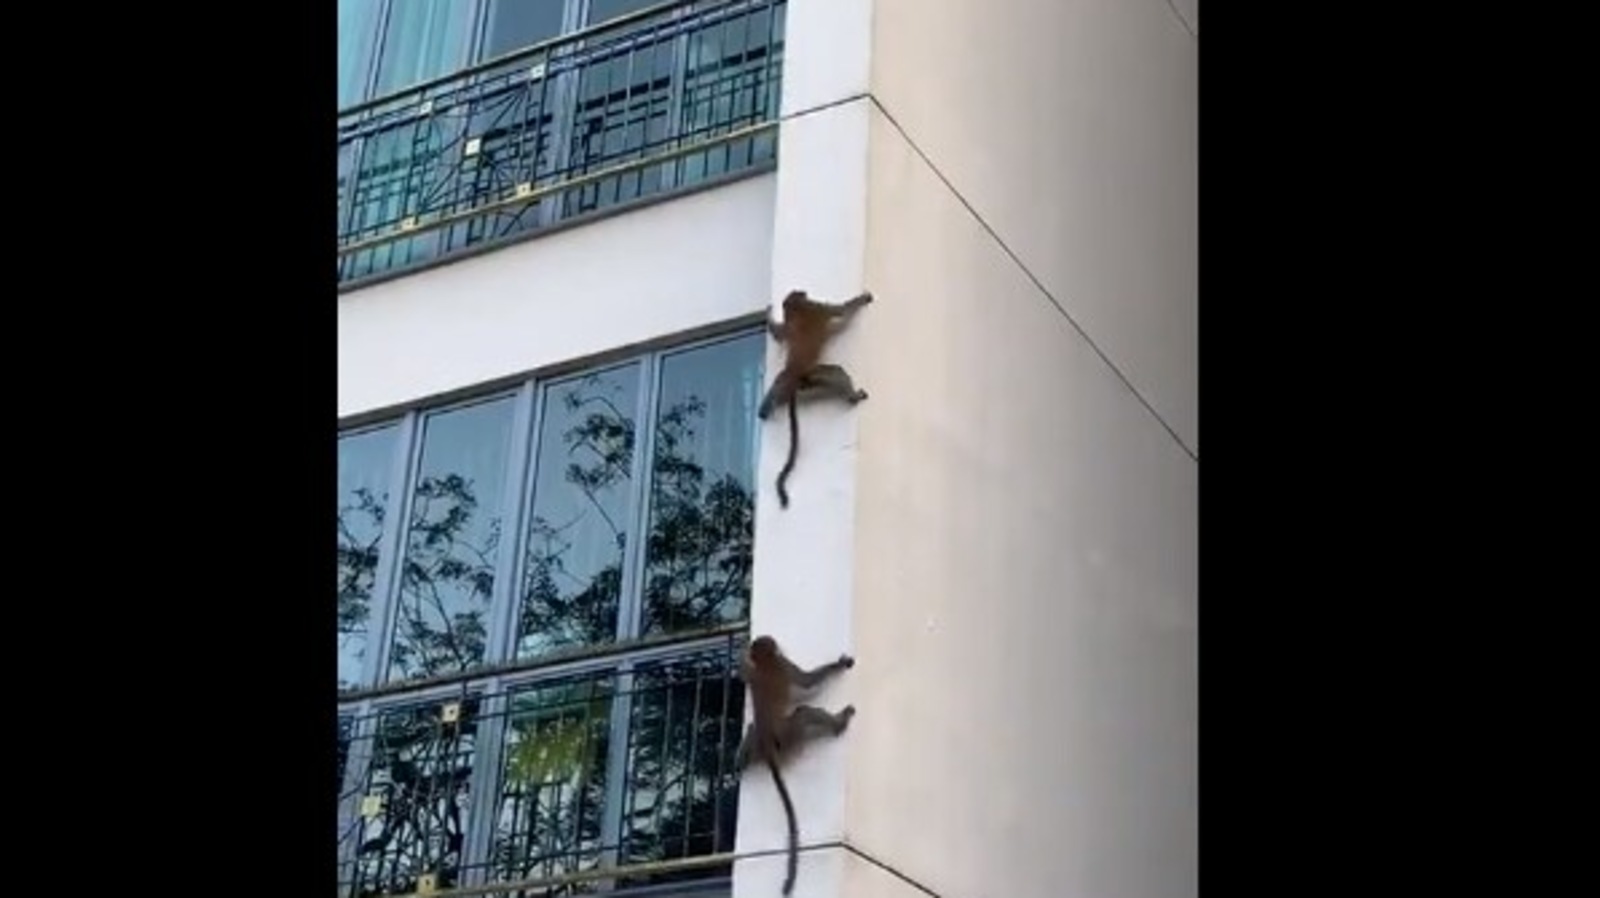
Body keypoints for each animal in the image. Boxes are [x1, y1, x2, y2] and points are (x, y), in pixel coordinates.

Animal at [733, 635, 856, 896]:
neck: (766, 661)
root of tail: (768, 746)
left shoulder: (755, 669)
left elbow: (743, 674)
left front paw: (741, 654)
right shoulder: (784, 665)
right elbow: (807, 682)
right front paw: (839, 665)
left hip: (758, 744)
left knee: (751, 727)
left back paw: (740, 762)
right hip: (791, 735)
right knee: (803, 713)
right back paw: (838, 724)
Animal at [757, 289, 873, 509]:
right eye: (801, 294)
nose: (803, 292)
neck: (794, 309)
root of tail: (796, 374)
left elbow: (778, 333)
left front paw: (768, 315)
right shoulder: (816, 307)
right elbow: (840, 310)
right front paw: (862, 299)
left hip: (796, 379)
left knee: (777, 384)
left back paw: (765, 409)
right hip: (813, 374)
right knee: (837, 373)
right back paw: (852, 396)